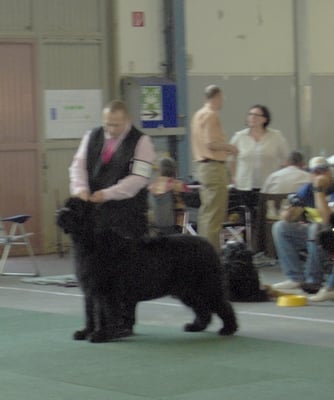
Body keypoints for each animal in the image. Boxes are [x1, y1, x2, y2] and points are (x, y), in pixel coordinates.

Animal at [56, 198, 237, 342]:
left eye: (75, 208)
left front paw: (101, 335)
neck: (89, 243)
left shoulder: (105, 292)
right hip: (188, 290)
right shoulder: (89, 291)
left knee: (222, 305)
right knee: (203, 309)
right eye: (65, 205)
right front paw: (85, 332)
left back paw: (228, 329)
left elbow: (105, 314)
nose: (58, 212)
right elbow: (89, 314)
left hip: (206, 285)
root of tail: (209, 245)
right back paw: (195, 326)